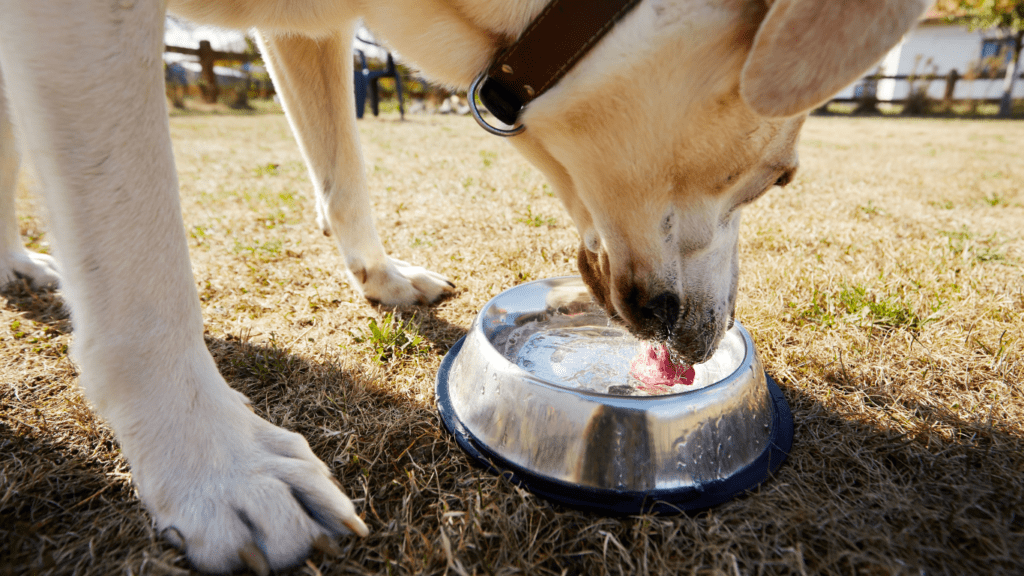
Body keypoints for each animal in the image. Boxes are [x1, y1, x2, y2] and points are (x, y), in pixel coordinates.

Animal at [0, 0, 929, 569]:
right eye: (780, 180)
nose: (708, 339)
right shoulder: (81, 24)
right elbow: (141, 269)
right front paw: (219, 467)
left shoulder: (308, 32)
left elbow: (343, 177)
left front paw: (382, 279)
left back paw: (17, 262)